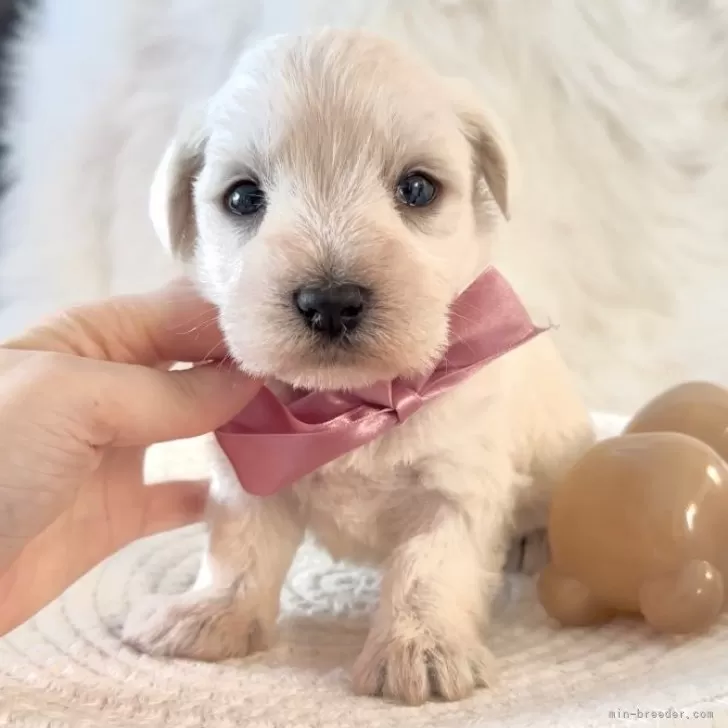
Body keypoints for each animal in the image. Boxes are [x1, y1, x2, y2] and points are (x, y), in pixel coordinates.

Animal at [122, 29, 596, 704]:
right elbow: (237, 552)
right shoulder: (250, 475)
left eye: (418, 189)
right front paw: (209, 615)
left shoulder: (454, 487)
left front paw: (421, 648)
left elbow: (429, 568)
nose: (330, 302)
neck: (350, 405)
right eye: (242, 197)